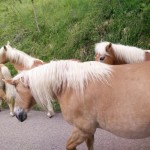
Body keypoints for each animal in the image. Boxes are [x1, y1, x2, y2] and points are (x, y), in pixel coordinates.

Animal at [3, 59, 150, 149]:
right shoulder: (88, 132)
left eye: (17, 90)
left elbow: (69, 145)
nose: (18, 114)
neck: (70, 87)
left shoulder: (83, 129)